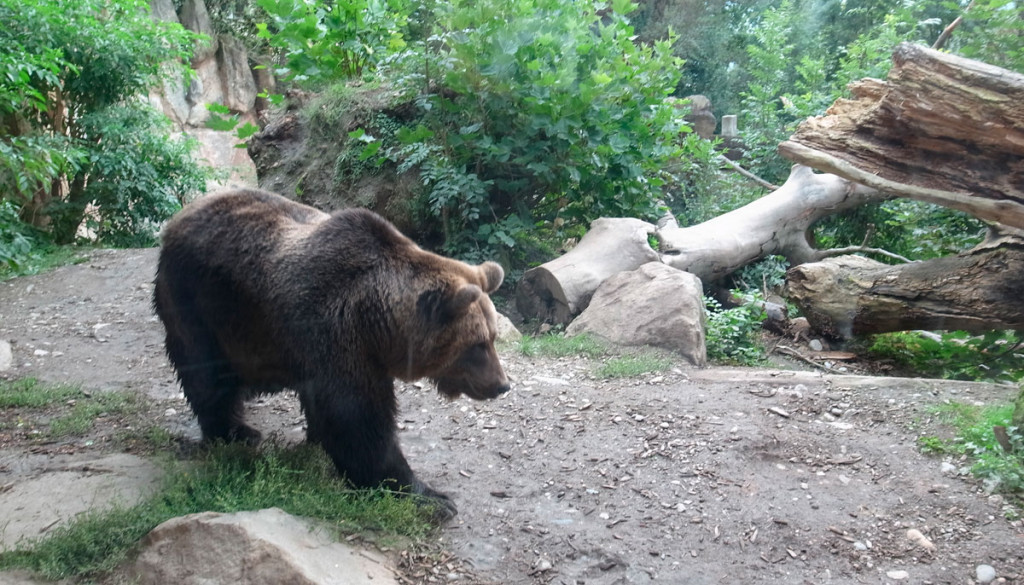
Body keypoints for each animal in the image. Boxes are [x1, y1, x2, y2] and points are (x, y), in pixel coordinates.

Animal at [153, 186, 509, 516]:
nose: (501, 385)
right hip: (198, 299)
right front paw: (430, 498)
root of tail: (181, 214)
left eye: (493, 337)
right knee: (206, 372)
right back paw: (235, 431)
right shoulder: (335, 333)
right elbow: (357, 420)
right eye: (477, 345)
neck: (376, 323)